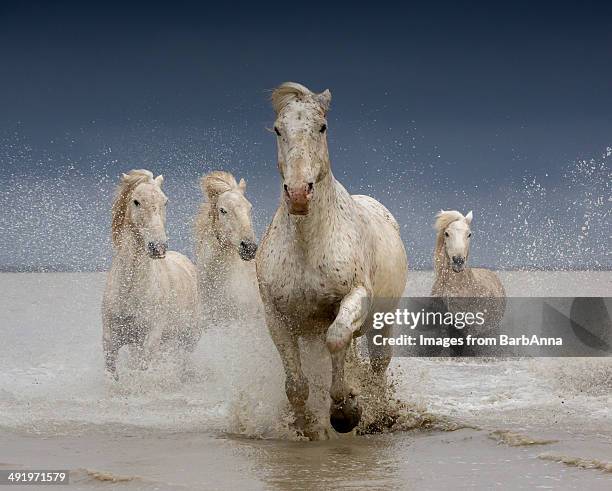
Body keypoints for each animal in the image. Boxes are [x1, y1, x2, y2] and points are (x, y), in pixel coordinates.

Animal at [101, 170, 200, 380]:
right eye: (136, 201)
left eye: (165, 202)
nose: (158, 247)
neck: (130, 291)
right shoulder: (111, 341)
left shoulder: (151, 337)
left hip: (188, 338)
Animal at [256, 82, 408, 436]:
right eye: (278, 129)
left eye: (322, 127)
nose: (299, 194)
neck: (308, 245)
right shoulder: (277, 317)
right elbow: (296, 385)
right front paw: (305, 426)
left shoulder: (355, 296)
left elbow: (337, 339)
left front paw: (345, 412)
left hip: (383, 321)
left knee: (377, 363)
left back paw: (377, 412)